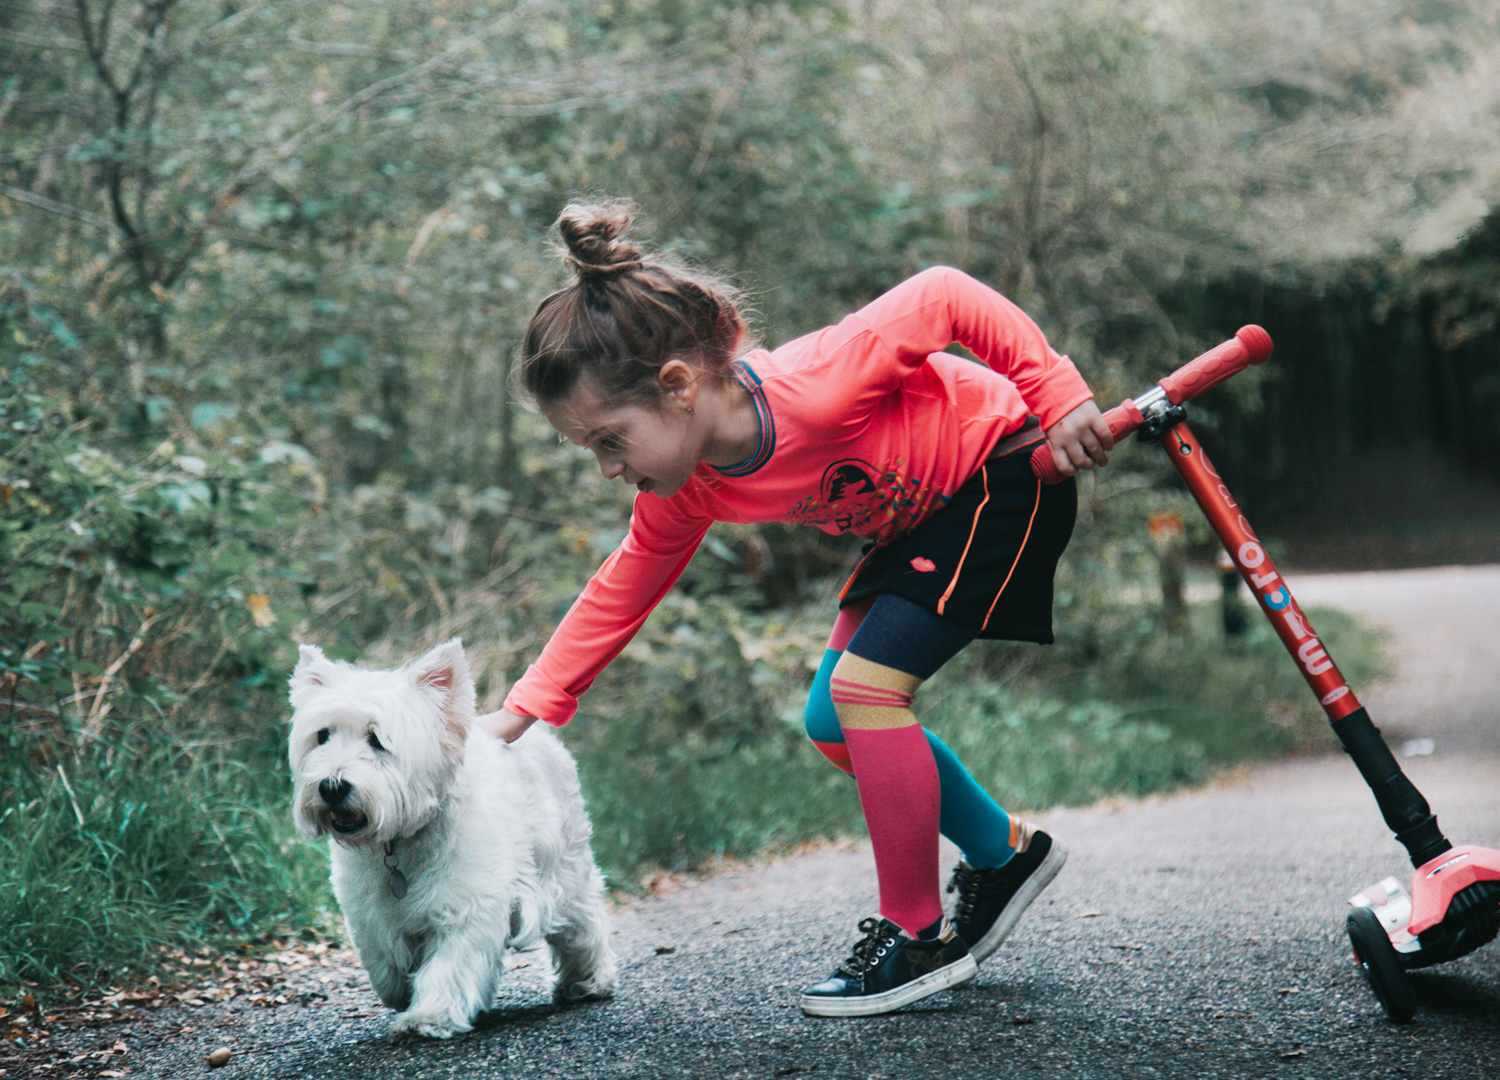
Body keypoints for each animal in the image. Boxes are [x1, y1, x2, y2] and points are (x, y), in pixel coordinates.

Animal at [286, 642, 615, 1038]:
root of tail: (545, 739)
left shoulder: (466, 903)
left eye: (377, 740)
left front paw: (428, 1016)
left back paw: (589, 981)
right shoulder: (368, 910)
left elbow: (450, 964)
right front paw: (401, 993)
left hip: (565, 870)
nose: (332, 787)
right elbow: (383, 960)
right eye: (322, 736)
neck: (401, 840)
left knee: (583, 923)